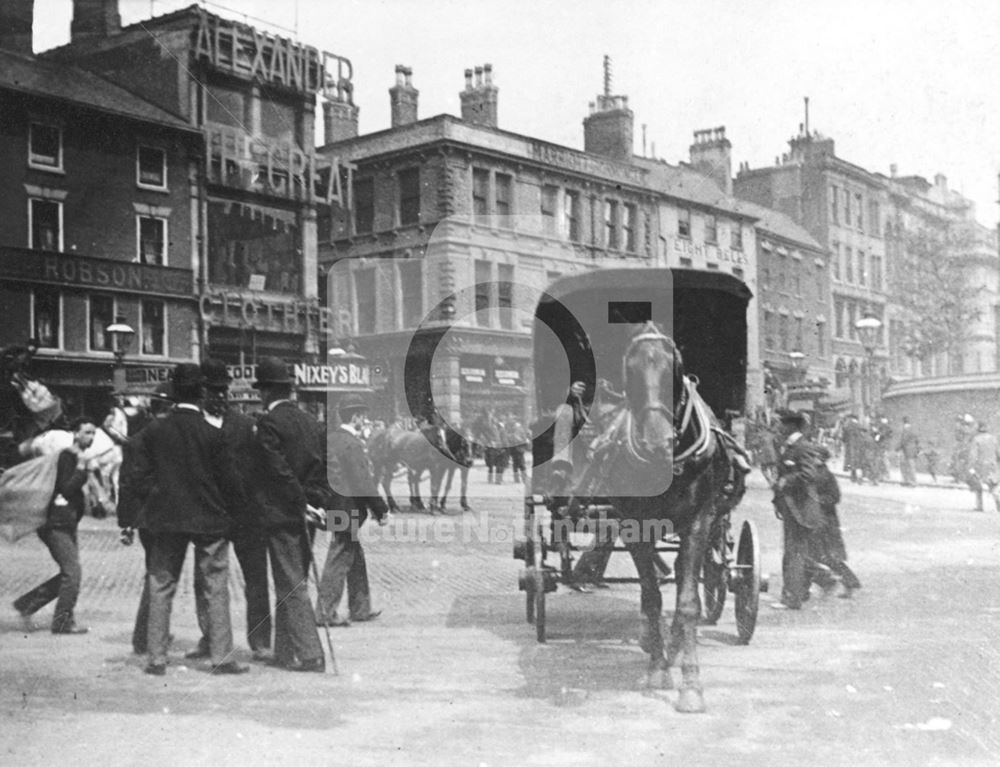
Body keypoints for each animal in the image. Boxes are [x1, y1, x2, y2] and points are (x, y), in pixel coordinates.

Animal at [568, 322, 748, 712]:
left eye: (674, 370)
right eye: (630, 370)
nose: (655, 443)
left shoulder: (699, 521)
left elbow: (688, 602)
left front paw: (691, 684)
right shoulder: (634, 524)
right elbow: (651, 598)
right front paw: (657, 668)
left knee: (686, 577)